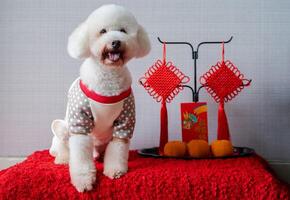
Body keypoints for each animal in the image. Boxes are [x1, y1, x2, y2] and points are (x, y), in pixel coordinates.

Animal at [49, 4, 151, 192]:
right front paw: (83, 180)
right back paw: (63, 159)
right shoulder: (80, 123)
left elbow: (118, 148)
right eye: (102, 31)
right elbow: (80, 155)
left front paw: (115, 170)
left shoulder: (124, 122)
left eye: (123, 30)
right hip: (64, 127)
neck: (108, 79)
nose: (116, 42)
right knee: (63, 145)